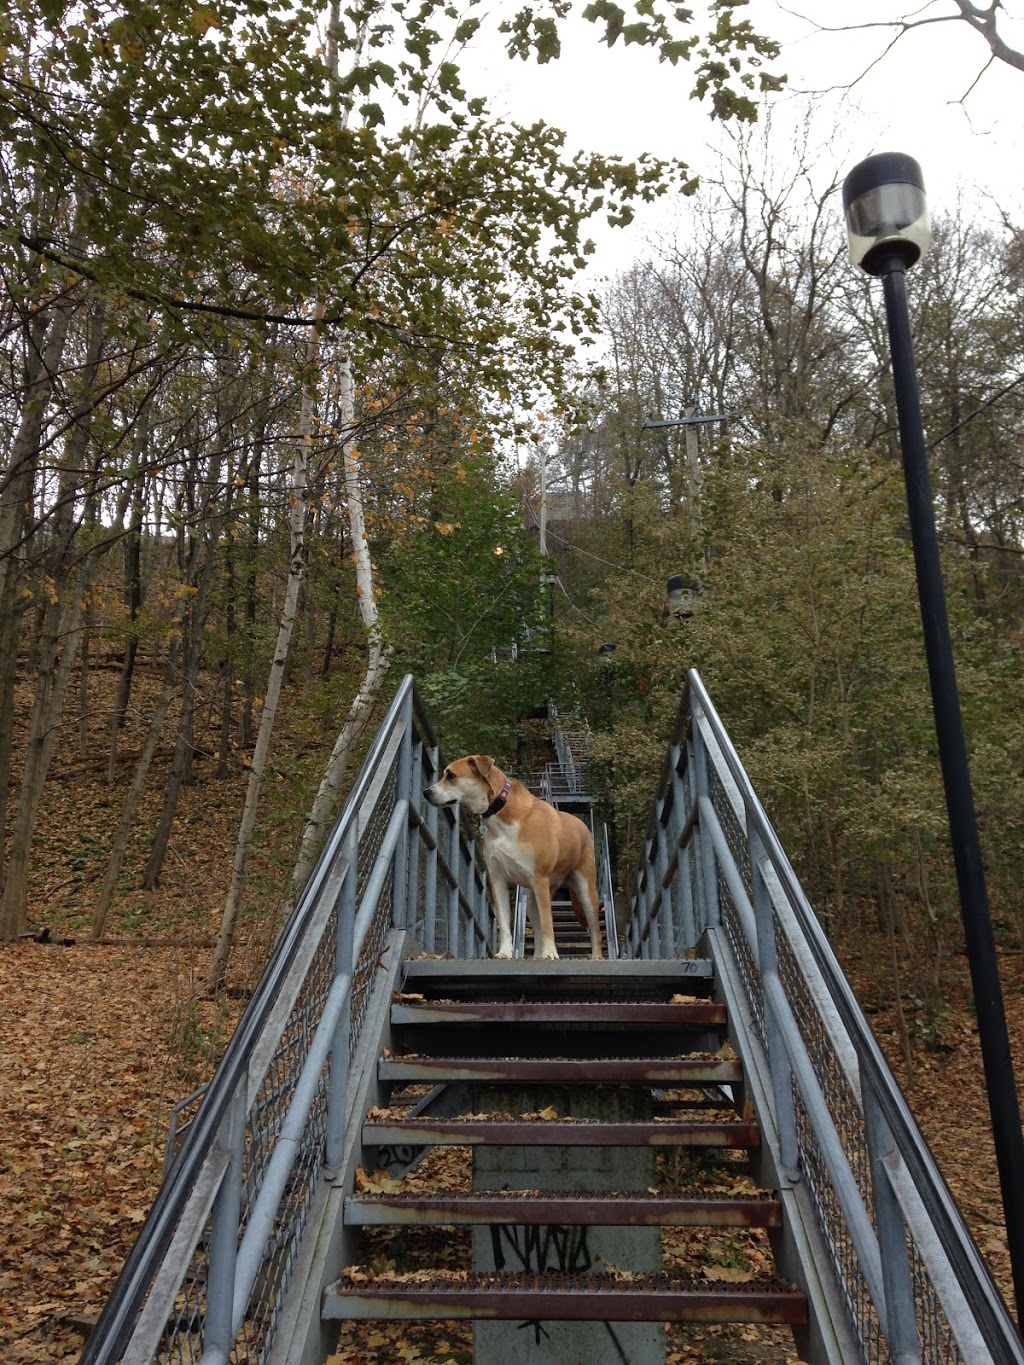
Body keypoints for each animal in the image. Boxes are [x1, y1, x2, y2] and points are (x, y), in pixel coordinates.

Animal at [423, 758, 606, 960]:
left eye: (451, 776)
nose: (426, 792)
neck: (501, 810)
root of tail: (581, 825)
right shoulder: (498, 881)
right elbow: (505, 923)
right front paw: (504, 952)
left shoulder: (540, 879)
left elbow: (547, 923)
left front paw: (551, 952)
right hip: (533, 901)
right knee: (537, 927)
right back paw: (537, 956)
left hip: (585, 891)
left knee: (595, 929)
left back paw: (596, 956)